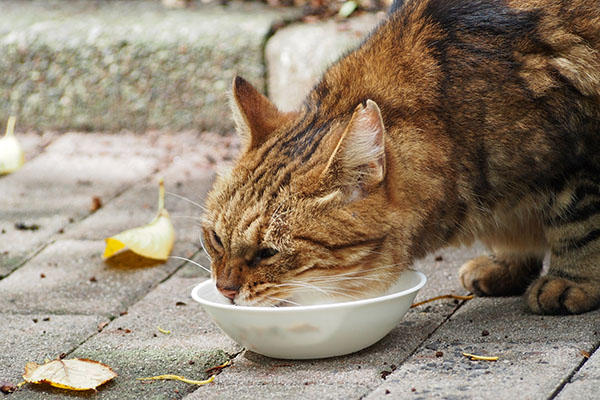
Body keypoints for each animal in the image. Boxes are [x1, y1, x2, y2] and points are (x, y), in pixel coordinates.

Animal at [202, 0, 600, 314]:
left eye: (268, 252)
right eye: (216, 239)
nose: (225, 289)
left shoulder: (578, 163)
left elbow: (579, 226)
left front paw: (572, 281)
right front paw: (506, 263)